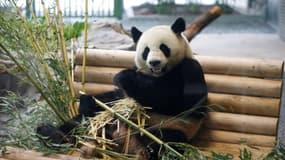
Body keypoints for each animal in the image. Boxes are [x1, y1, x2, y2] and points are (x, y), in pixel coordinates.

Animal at [36, 16, 207, 159]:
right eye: (146, 51)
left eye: (164, 47)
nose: (154, 62)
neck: (158, 75)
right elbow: (115, 97)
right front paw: (87, 101)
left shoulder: (190, 69)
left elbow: (183, 104)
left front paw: (124, 77)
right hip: (103, 122)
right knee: (78, 123)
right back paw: (50, 133)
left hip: (168, 128)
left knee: (167, 140)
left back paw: (149, 151)